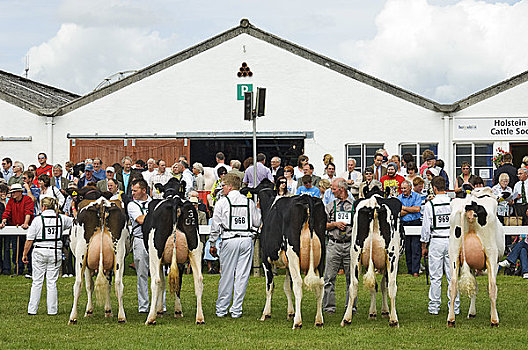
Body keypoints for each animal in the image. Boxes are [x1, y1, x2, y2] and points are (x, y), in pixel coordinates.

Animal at [67, 196, 128, 324]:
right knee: (118, 283)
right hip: (119, 253)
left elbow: (89, 286)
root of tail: (102, 203)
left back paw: (73, 318)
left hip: (81, 254)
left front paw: (89, 311)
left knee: (78, 284)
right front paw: (108, 311)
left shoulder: (87, 266)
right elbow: (108, 285)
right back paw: (121, 316)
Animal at [142, 179, 204, 326]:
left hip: (155, 251)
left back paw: (150, 318)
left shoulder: (160, 260)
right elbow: (178, 283)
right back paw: (200, 318)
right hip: (195, 249)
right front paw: (178, 310)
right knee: (198, 279)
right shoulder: (180, 262)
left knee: (156, 281)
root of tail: (175, 200)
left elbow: (162, 283)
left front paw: (159, 310)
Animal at [248, 186, 326, 328]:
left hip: (293, 253)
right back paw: (318, 320)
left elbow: (270, 287)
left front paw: (266, 314)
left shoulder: (266, 260)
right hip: (321, 255)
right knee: (320, 285)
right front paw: (290, 313)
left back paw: (298, 322)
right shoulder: (288, 265)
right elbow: (287, 287)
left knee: (298, 283)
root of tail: (306, 197)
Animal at [340, 193, 402, 326]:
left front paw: (373, 312)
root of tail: (374, 201)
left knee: (353, 285)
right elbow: (383, 285)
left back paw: (346, 319)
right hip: (392, 256)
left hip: (355, 254)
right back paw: (394, 320)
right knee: (392, 286)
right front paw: (384, 312)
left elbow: (374, 286)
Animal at [448, 187, 506, 326]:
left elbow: (474, 286)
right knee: (492, 286)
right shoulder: (496, 262)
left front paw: (471, 312)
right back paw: (494, 320)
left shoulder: (471, 265)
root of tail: (471, 204)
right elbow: (488, 286)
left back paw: (451, 319)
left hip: (453, 252)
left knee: (453, 285)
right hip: (491, 252)